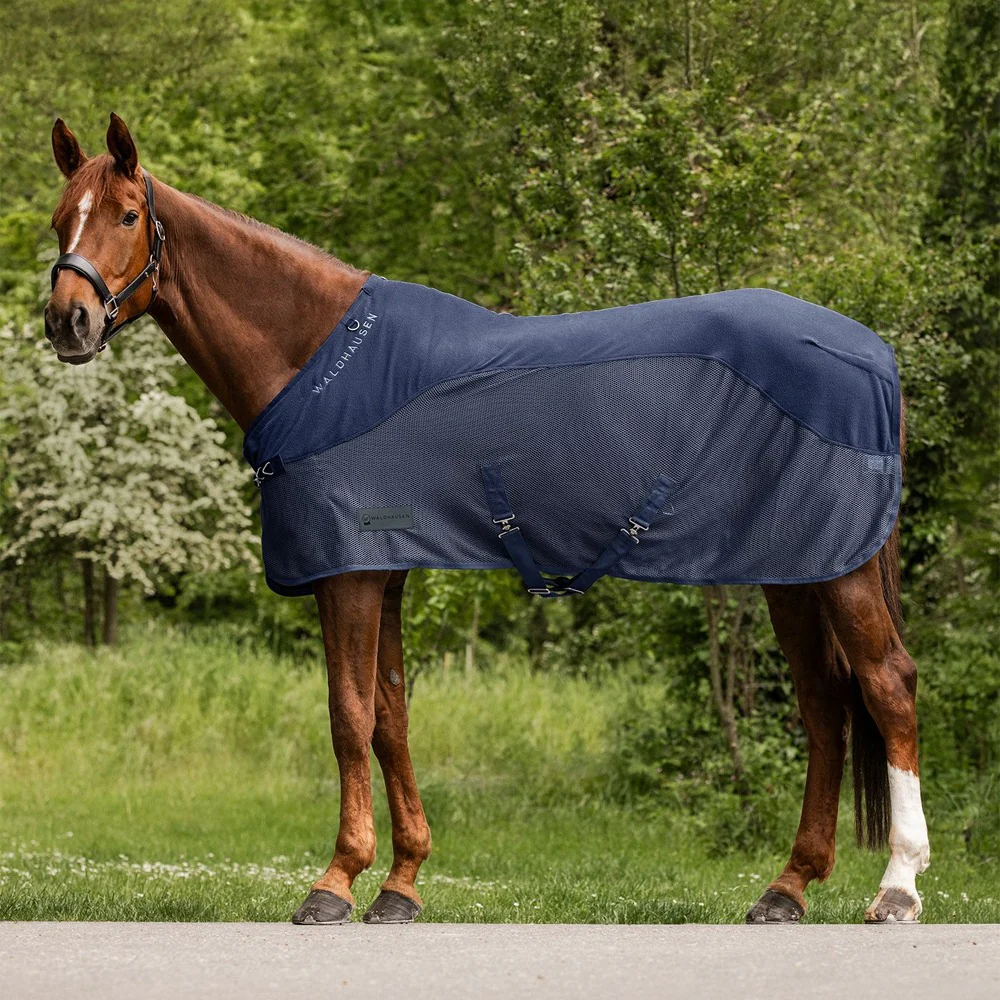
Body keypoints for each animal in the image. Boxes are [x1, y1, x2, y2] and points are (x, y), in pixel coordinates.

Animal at [43, 114, 930, 925]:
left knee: (886, 687)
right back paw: (787, 888)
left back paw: (896, 888)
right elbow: (392, 717)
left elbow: (348, 716)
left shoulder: (349, 572)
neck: (321, 363)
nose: (66, 321)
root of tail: (872, 352)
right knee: (824, 707)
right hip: (795, 572)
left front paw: (336, 881)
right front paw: (400, 885)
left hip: (840, 571)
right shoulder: (386, 573)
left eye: (127, 214)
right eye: (60, 219)